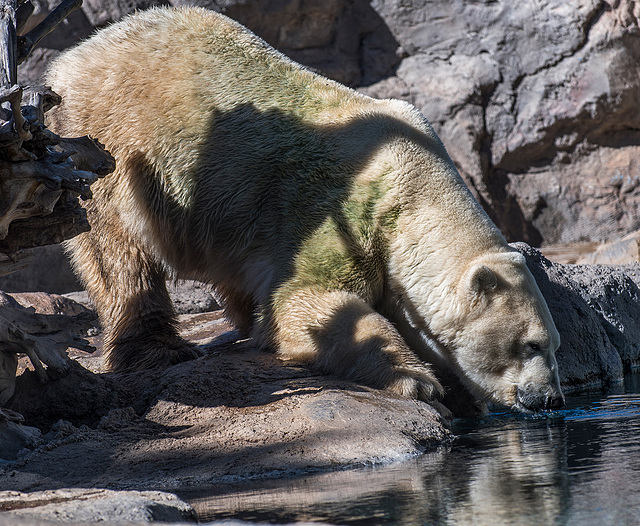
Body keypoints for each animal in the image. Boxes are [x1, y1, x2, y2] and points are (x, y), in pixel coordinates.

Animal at [46, 6, 564, 414]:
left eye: (555, 344)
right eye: (531, 344)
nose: (550, 399)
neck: (413, 183)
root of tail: (69, 60)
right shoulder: (341, 215)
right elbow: (307, 302)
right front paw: (418, 380)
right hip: (107, 142)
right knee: (118, 250)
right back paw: (158, 348)